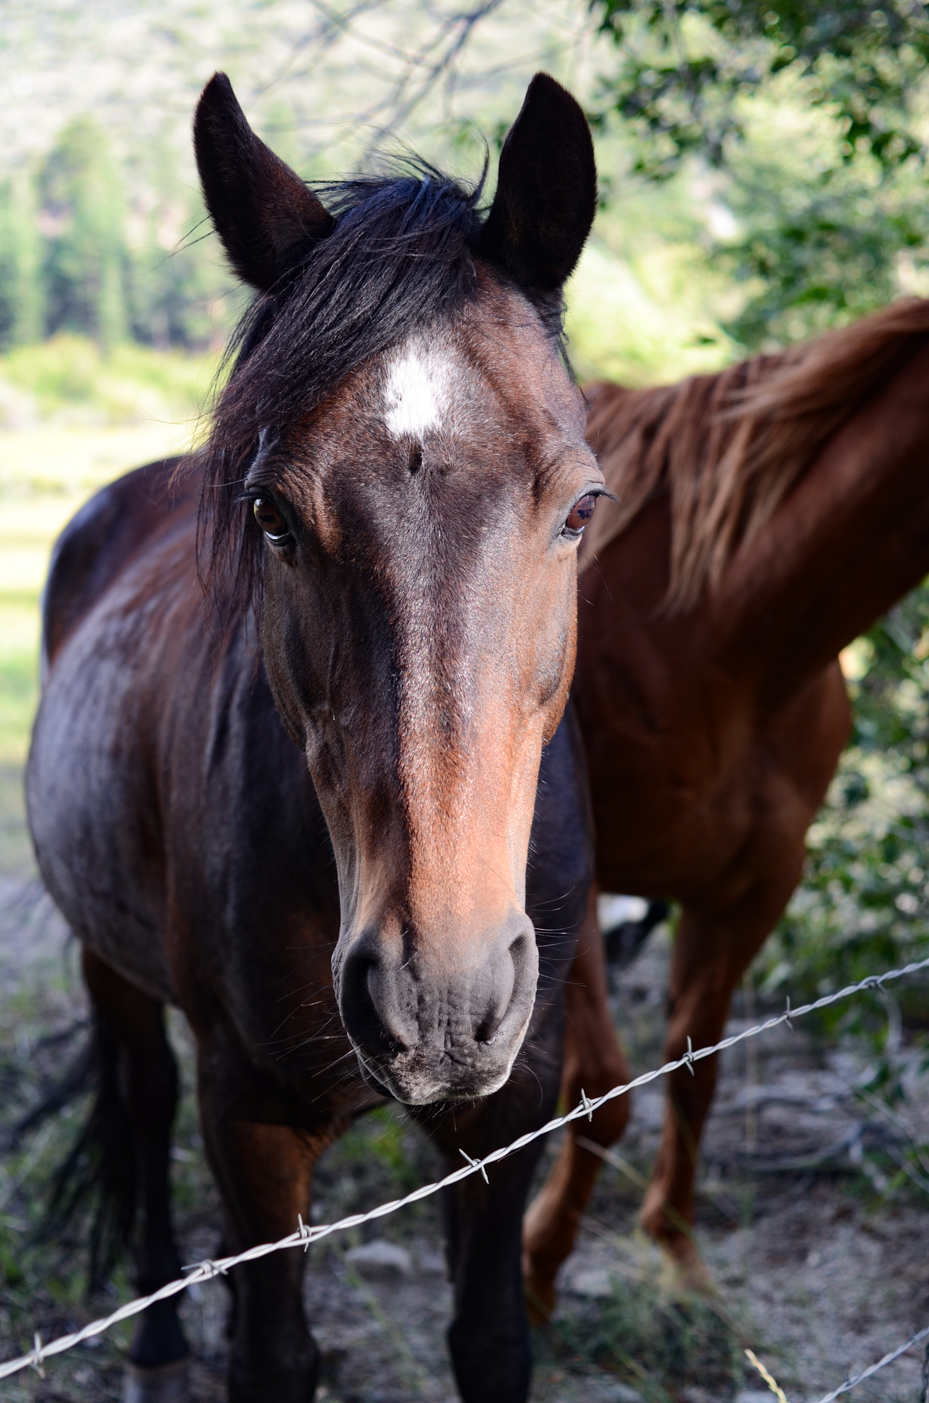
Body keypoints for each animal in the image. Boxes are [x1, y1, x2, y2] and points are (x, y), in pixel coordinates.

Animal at [27, 71, 603, 1397]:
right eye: (272, 516)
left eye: (579, 507)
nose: (436, 992)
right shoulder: (251, 1115)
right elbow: (274, 1350)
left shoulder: (514, 1098)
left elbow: (490, 1337)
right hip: (112, 967)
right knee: (139, 1100)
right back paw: (158, 1329)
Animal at [524, 298, 929, 1313]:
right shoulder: (574, 882)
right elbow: (604, 1090)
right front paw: (537, 1271)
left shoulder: (747, 888)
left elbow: (694, 1066)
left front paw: (675, 1251)